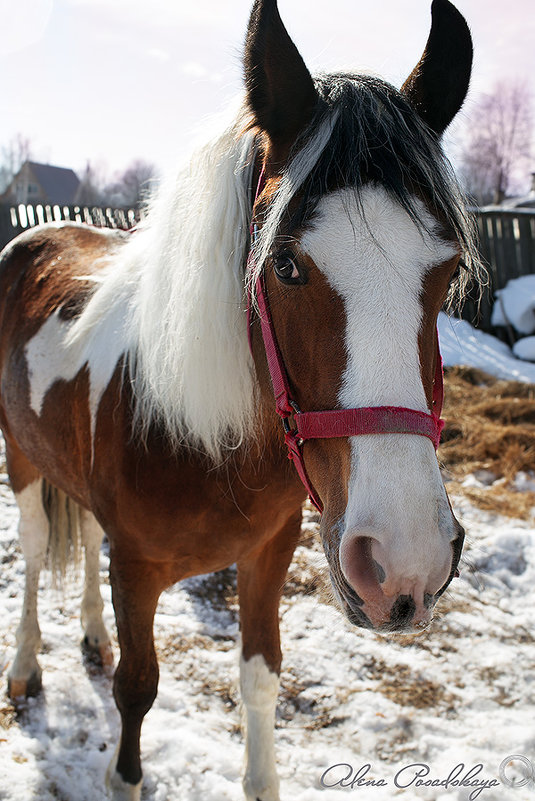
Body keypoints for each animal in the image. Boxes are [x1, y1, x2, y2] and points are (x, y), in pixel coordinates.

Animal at [0, 0, 482, 796]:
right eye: (284, 263)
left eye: (445, 271)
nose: (405, 563)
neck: (201, 437)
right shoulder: (137, 569)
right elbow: (137, 690)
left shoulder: (269, 552)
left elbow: (261, 678)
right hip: (21, 457)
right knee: (38, 553)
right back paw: (26, 666)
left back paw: (91, 637)